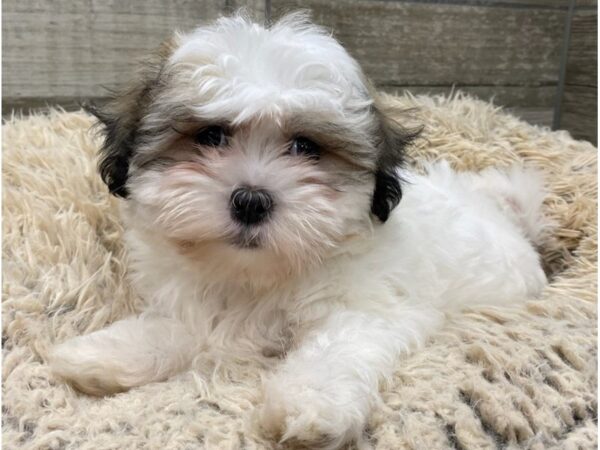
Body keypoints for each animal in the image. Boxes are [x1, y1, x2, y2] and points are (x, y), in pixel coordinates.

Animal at [51, 12, 548, 448]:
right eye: (211, 136)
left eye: (306, 147)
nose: (251, 200)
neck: (257, 274)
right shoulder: (201, 306)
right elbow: (175, 328)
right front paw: (101, 354)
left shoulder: (372, 308)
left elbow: (335, 347)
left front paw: (309, 404)